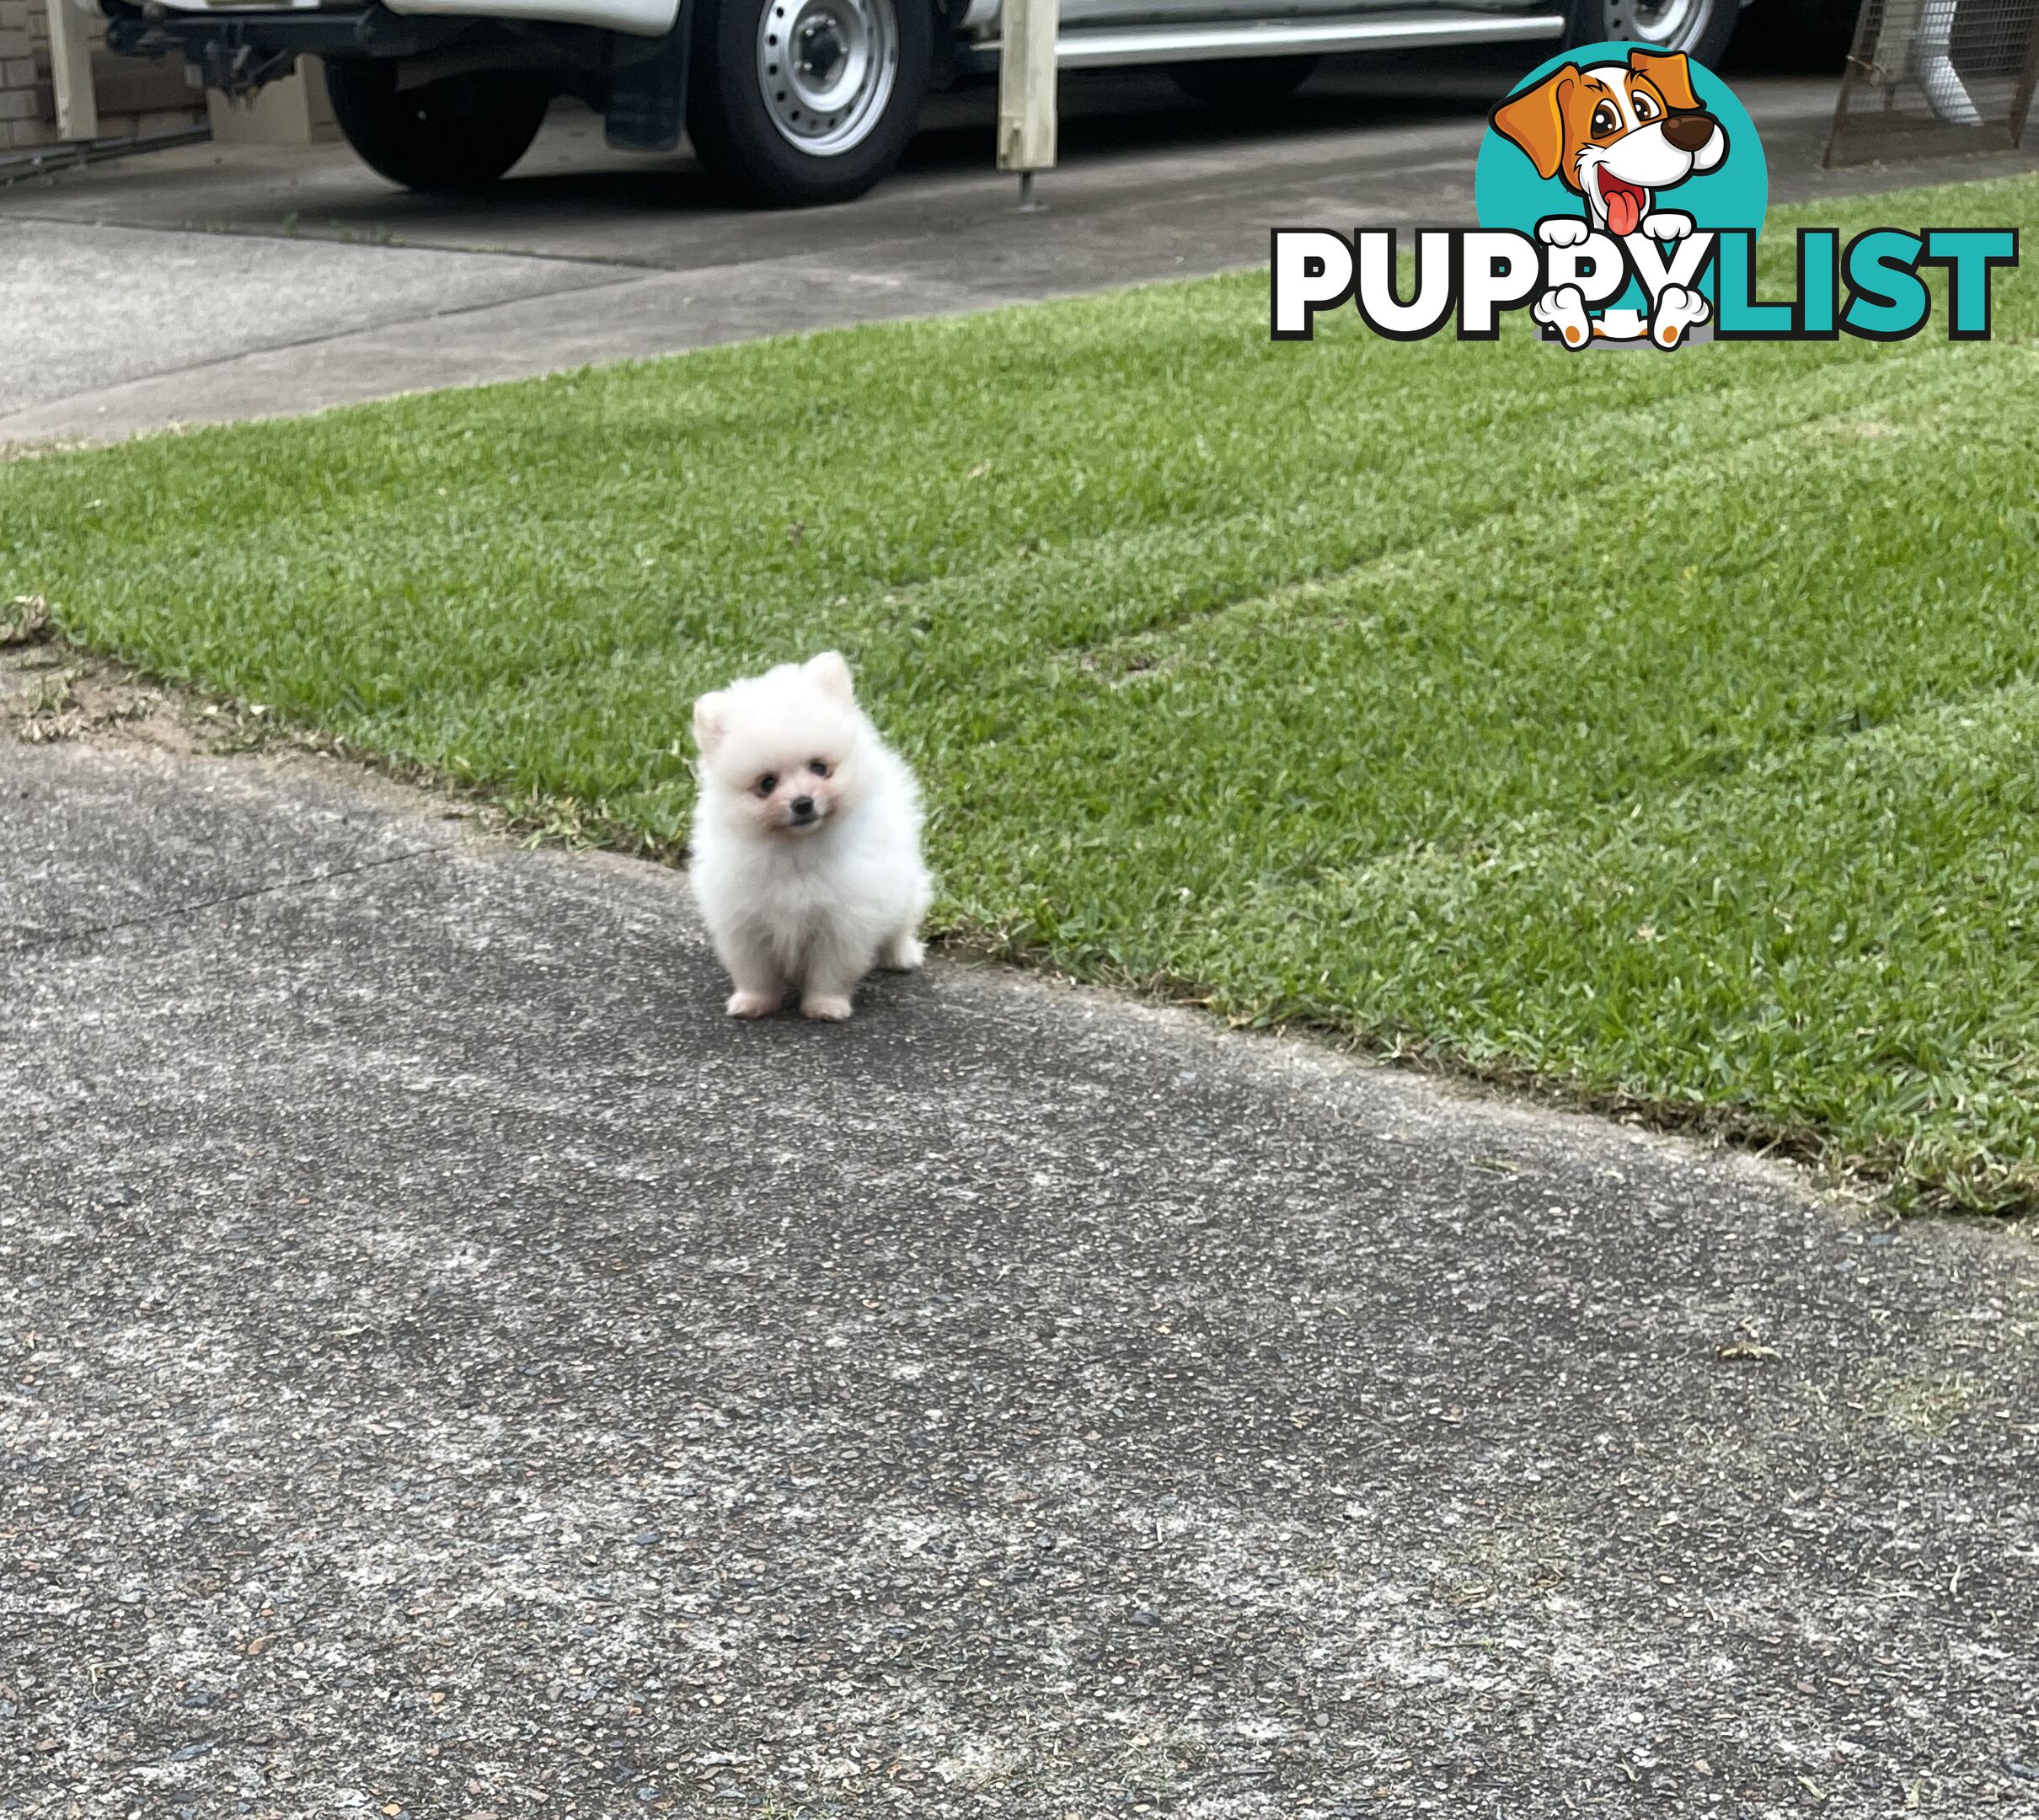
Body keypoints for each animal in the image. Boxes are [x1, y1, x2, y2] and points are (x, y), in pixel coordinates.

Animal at [693, 652, 934, 1023]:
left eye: (819, 768)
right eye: (767, 784)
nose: (803, 802)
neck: (797, 849)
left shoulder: (843, 920)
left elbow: (831, 970)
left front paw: (825, 1007)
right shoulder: (745, 919)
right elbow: (755, 970)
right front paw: (753, 1003)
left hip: (904, 884)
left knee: (902, 921)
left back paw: (901, 955)